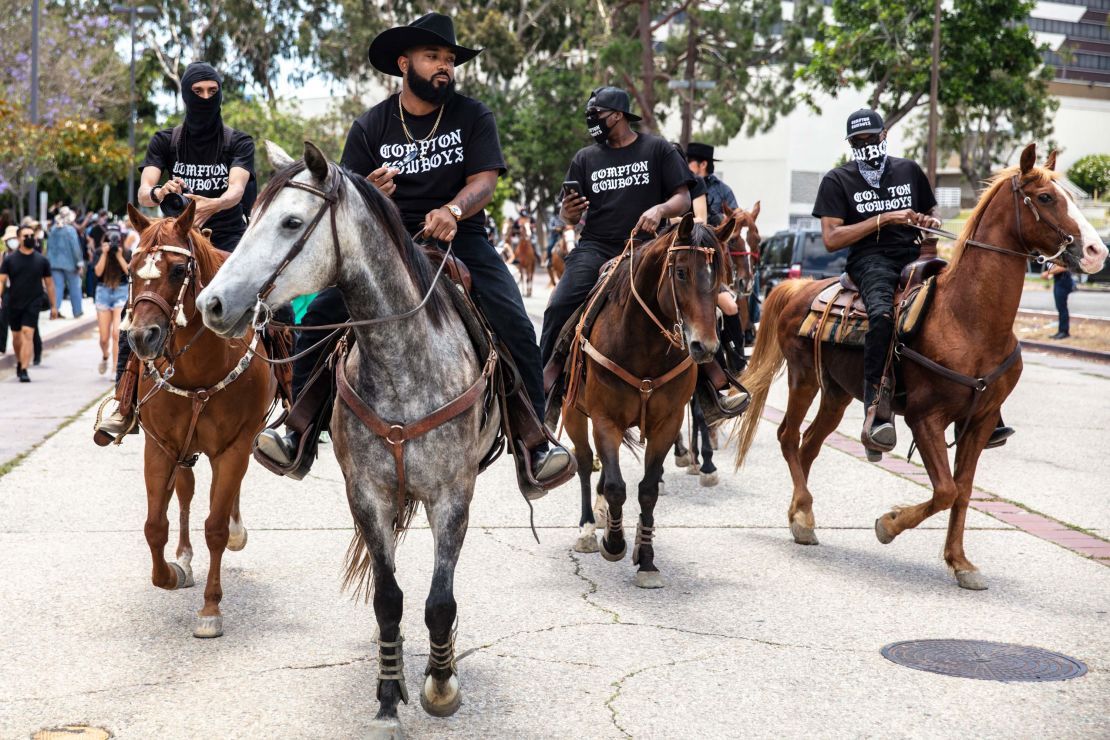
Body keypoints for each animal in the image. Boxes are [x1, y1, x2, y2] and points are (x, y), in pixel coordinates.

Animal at [123, 200, 279, 639]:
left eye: (178, 270)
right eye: (131, 267)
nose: (141, 337)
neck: (198, 369)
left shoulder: (233, 447)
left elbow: (217, 527)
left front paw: (210, 610)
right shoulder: (161, 446)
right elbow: (154, 525)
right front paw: (173, 572)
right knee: (187, 493)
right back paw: (184, 555)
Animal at [196, 140, 499, 736]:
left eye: (292, 222)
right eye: (251, 219)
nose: (211, 305)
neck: (401, 362)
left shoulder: (453, 496)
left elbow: (440, 601)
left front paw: (441, 684)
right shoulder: (366, 495)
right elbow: (388, 599)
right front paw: (387, 696)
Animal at [563, 214, 737, 590]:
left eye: (719, 275)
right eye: (681, 272)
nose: (705, 347)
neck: (644, 346)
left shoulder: (667, 423)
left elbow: (647, 489)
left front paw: (646, 559)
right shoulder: (605, 419)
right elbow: (617, 486)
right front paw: (613, 543)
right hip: (573, 413)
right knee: (584, 462)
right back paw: (588, 527)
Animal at [732, 144, 1105, 590]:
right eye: (1046, 198)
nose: (1097, 252)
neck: (967, 318)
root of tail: (798, 287)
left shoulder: (979, 423)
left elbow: (963, 490)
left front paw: (960, 562)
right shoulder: (926, 418)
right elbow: (945, 490)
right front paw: (888, 524)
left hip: (838, 393)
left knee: (809, 444)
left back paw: (800, 514)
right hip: (804, 378)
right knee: (789, 437)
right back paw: (804, 512)